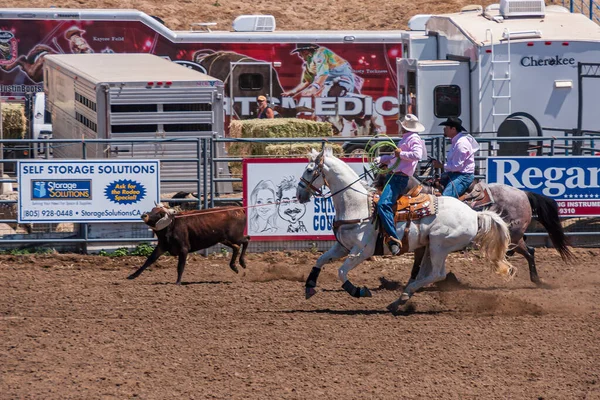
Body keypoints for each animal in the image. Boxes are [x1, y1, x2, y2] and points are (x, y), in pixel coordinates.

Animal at [298, 147, 512, 312]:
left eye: (309, 170)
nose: (299, 194)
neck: (357, 205)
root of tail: (474, 215)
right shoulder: (342, 247)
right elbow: (320, 260)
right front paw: (309, 287)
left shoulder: (361, 251)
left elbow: (341, 272)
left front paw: (359, 291)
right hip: (430, 247)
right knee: (426, 274)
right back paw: (399, 299)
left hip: (439, 245)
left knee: (437, 274)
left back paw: (402, 297)